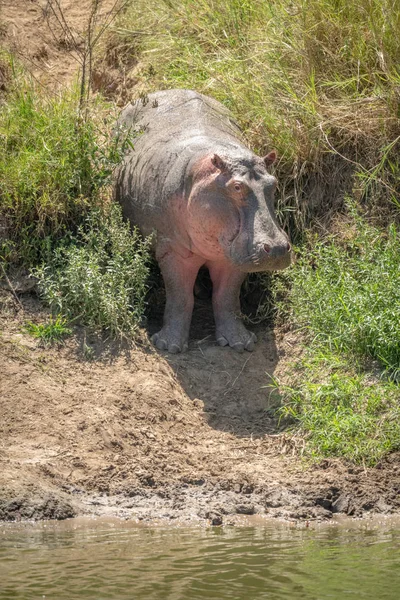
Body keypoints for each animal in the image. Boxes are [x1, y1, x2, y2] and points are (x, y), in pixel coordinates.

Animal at [115, 88, 290, 352]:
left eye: (274, 183)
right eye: (236, 186)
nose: (278, 248)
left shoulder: (234, 256)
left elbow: (227, 297)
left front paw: (241, 343)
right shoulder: (172, 250)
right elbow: (180, 297)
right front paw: (169, 346)